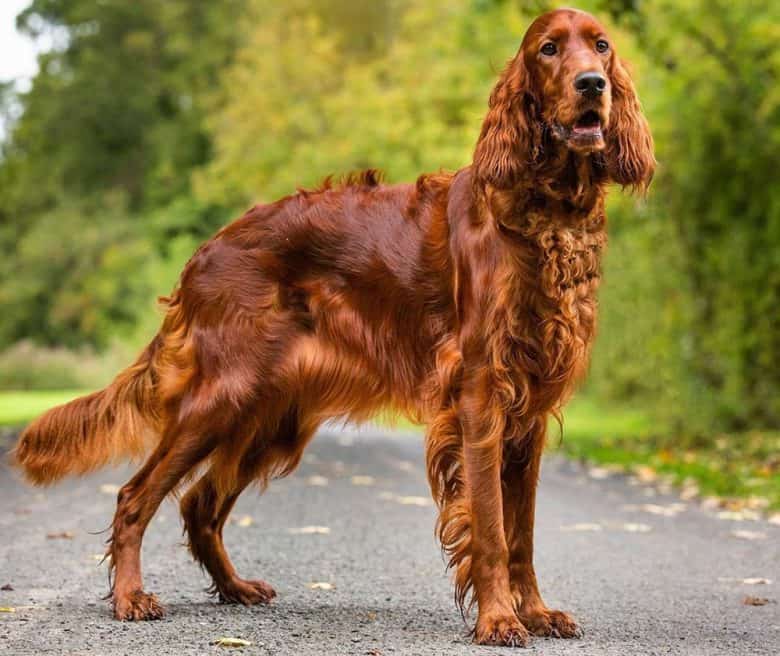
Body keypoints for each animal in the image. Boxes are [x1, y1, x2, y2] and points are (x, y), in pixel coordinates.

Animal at [13, 7, 652, 648]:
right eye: (549, 49)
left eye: (601, 46)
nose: (592, 84)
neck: (545, 212)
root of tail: (205, 253)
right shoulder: (480, 394)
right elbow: (492, 526)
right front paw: (498, 619)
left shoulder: (531, 407)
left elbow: (523, 532)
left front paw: (536, 612)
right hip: (222, 398)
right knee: (134, 495)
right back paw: (130, 597)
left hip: (270, 415)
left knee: (199, 503)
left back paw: (235, 587)